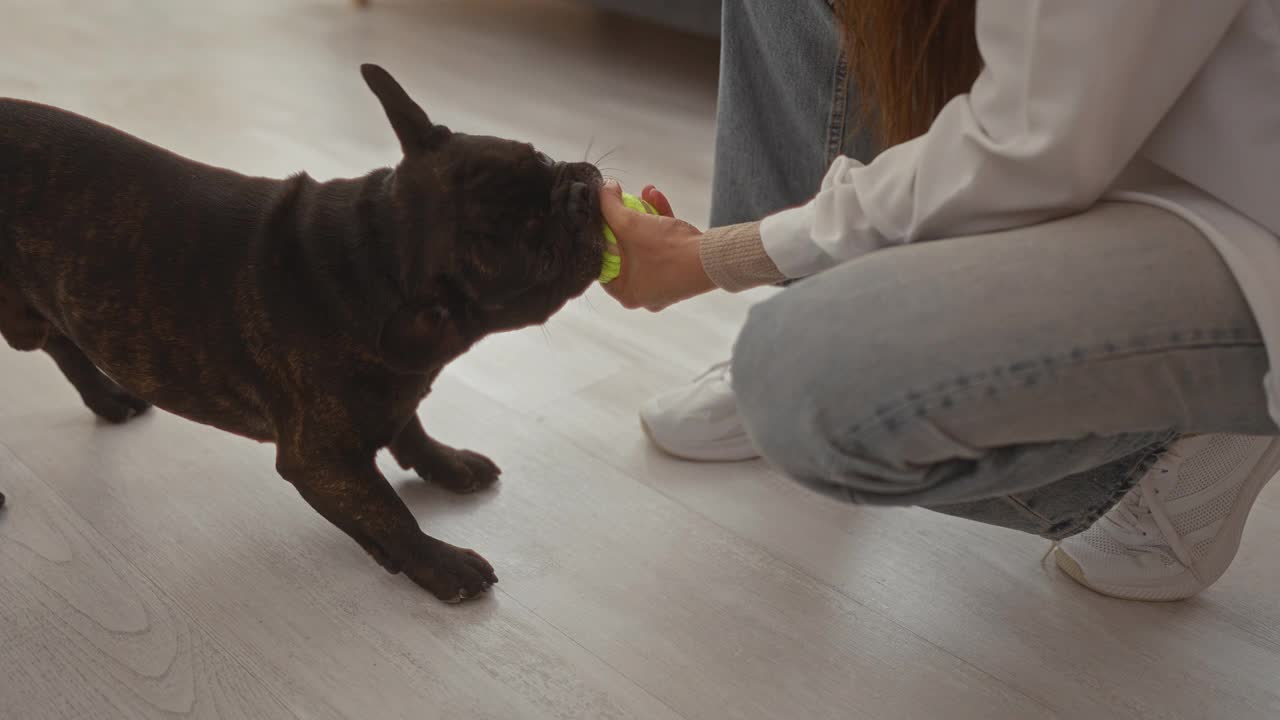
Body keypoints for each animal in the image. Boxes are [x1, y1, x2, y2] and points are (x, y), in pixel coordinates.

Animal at [0, 63, 604, 599]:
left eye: (539, 157)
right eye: (537, 256)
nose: (582, 197)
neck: (374, 258)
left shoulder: (391, 391)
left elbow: (408, 423)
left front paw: (446, 462)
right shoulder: (320, 457)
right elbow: (387, 511)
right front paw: (439, 563)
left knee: (59, 337)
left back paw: (107, 398)